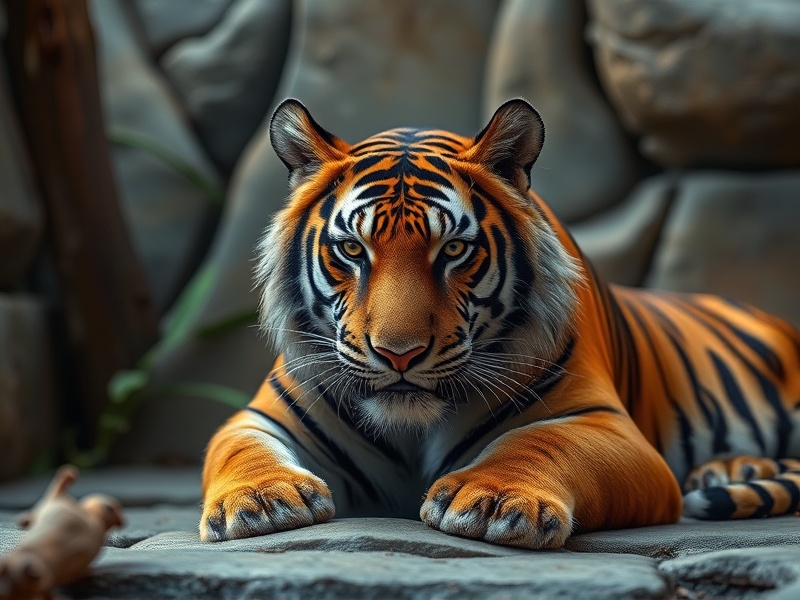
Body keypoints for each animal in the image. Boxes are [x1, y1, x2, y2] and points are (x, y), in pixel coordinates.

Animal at [200, 98, 800, 549]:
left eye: (454, 250)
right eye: (352, 249)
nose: (399, 354)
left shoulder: (609, 426)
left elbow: (541, 443)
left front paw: (493, 500)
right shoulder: (261, 415)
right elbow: (239, 449)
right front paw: (261, 501)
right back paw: (730, 469)